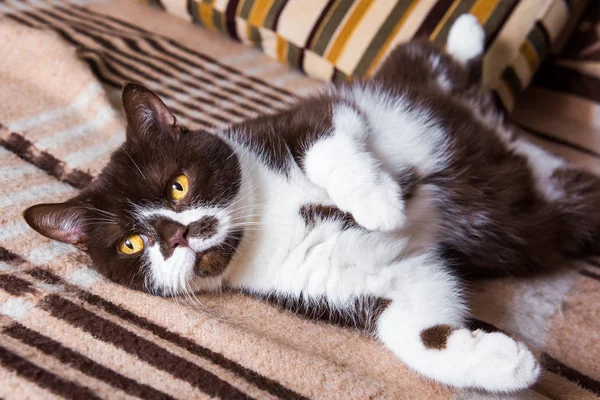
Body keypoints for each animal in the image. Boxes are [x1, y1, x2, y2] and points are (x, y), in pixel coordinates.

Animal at [21, 16, 600, 394]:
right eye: (132, 243)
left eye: (178, 186)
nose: (177, 235)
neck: (264, 221)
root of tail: (509, 135)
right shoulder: (354, 277)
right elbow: (409, 320)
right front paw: (505, 363)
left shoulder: (307, 115)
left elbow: (322, 140)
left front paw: (381, 205)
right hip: (557, 211)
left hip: (402, 83)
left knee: (426, 58)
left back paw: (465, 31)